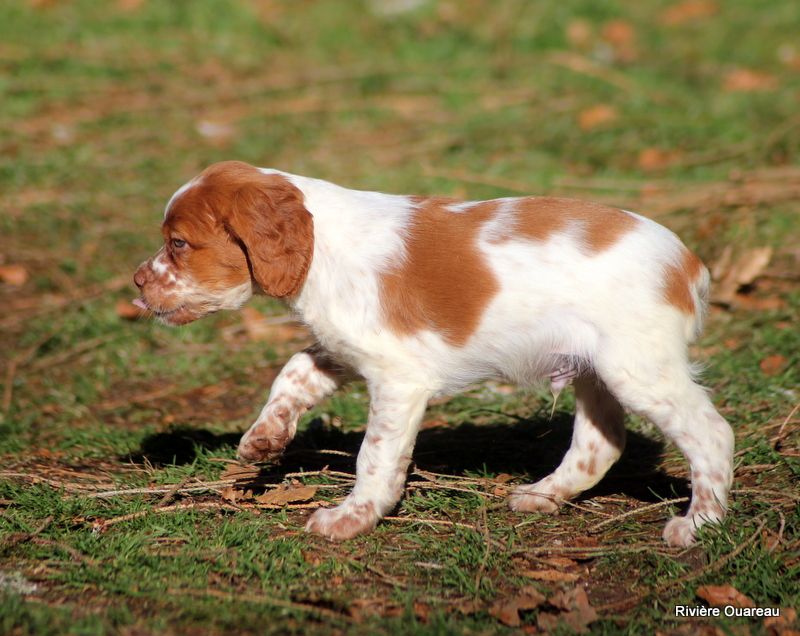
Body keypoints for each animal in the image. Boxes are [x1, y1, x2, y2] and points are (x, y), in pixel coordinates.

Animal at [134, 160, 736, 548]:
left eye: (179, 245)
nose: (137, 283)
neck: (322, 247)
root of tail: (689, 264)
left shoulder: (398, 379)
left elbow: (374, 455)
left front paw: (352, 518)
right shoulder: (348, 349)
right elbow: (295, 371)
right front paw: (264, 438)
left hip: (637, 368)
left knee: (711, 433)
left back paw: (698, 525)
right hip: (593, 370)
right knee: (600, 442)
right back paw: (544, 495)